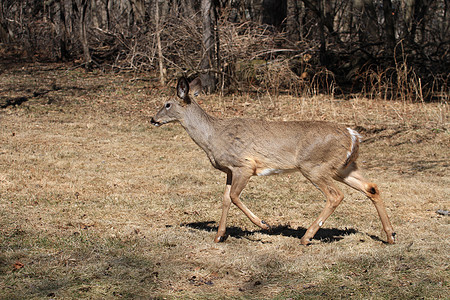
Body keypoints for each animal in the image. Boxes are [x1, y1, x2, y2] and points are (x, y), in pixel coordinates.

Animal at [150, 77, 394, 244]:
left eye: (167, 104)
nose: (152, 119)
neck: (212, 137)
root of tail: (353, 135)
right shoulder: (229, 170)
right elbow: (226, 199)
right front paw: (219, 235)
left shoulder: (244, 165)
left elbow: (235, 197)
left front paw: (264, 225)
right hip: (343, 167)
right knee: (372, 187)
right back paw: (390, 235)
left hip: (314, 166)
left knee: (336, 195)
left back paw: (306, 237)